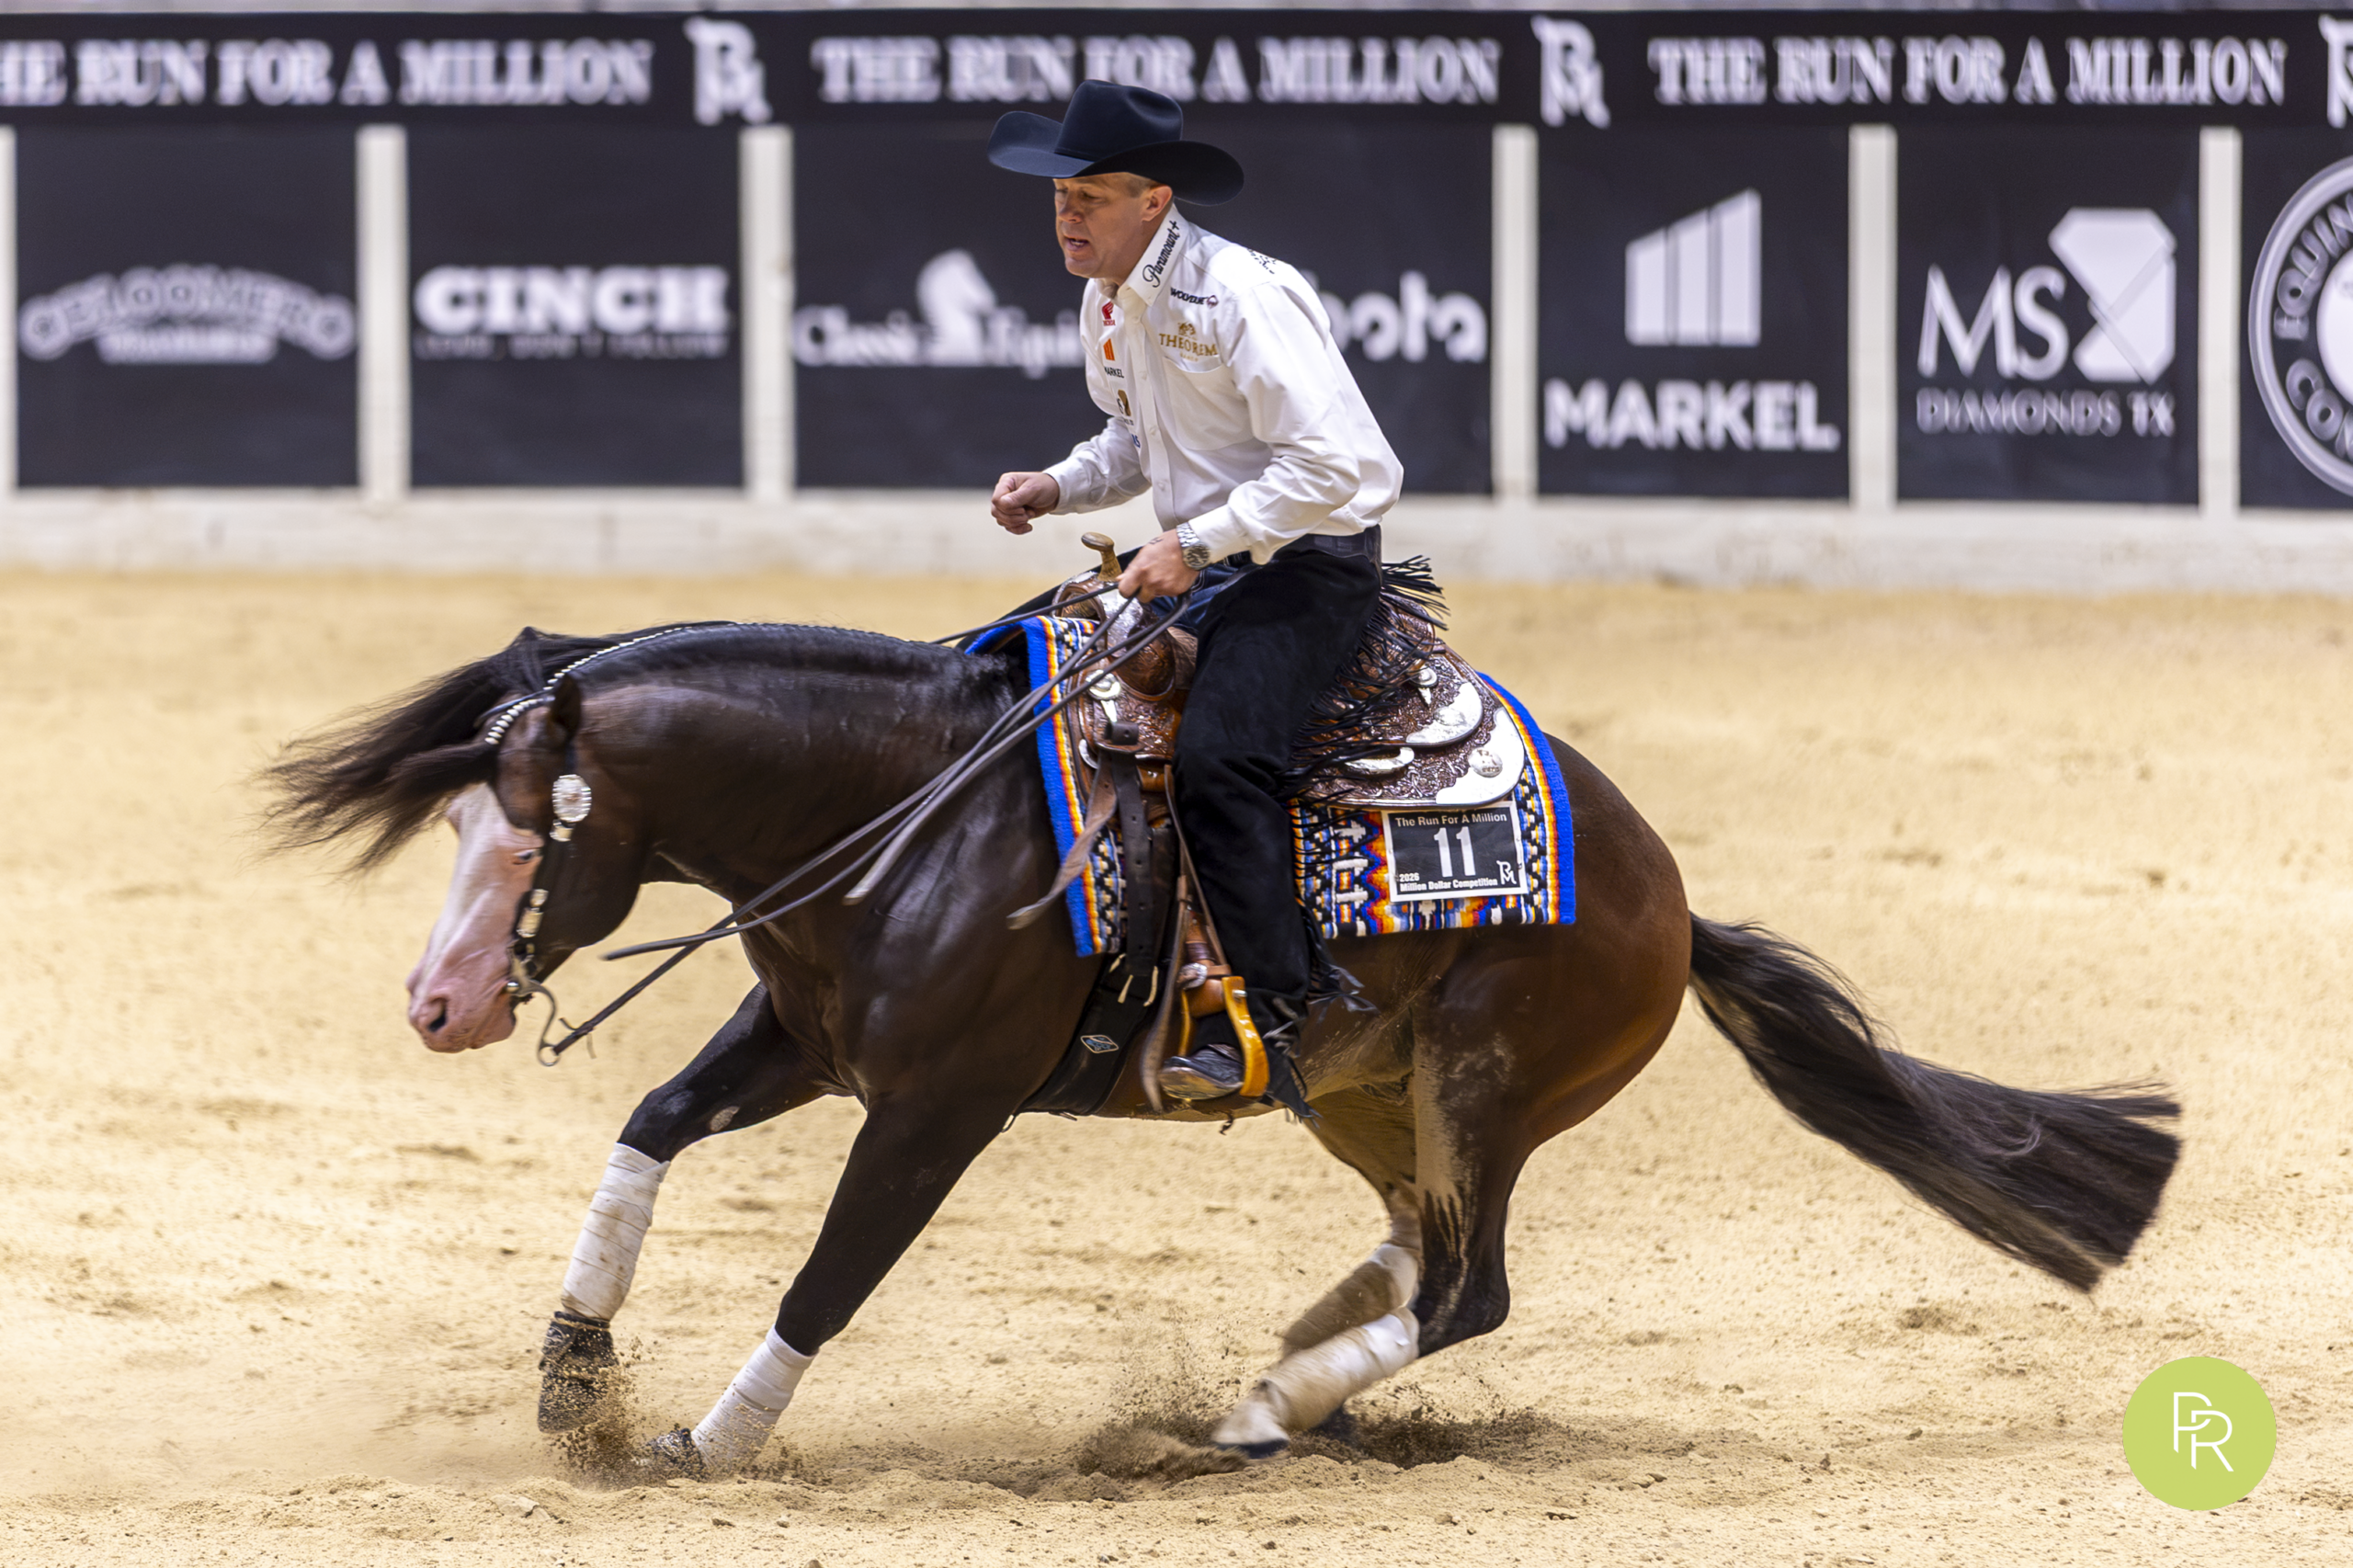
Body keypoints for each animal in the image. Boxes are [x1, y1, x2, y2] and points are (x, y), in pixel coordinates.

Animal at [264, 617, 2181, 1476]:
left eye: (535, 832)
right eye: (454, 821)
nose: (438, 1005)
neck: (912, 815)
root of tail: (1670, 899)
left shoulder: (935, 1111)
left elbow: (831, 1276)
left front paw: (709, 1441)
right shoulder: (798, 1038)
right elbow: (651, 1127)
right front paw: (573, 1373)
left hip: (1485, 1086)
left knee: (1471, 1288)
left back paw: (1265, 1406)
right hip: (1360, 1091)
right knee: (1416, 1254)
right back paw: (1308, 1343)